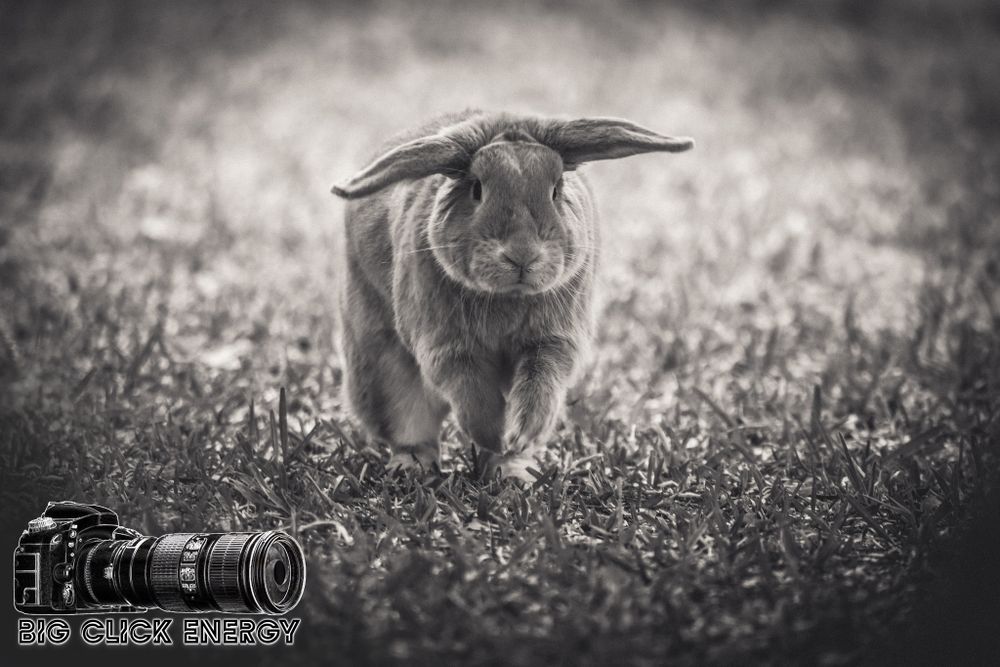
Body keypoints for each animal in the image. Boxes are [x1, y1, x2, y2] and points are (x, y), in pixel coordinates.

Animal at [332, 110, 693, 480]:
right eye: (477, 188)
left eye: (556, 189)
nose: (522, 254)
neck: (508, 296)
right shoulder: (446, 346)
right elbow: (471, 392)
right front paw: (495, 435)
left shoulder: (551, 344)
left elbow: (539, 389)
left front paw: (514, 440)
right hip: (380, 364)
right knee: (409, 424)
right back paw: (412, 468)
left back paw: (514, 473)